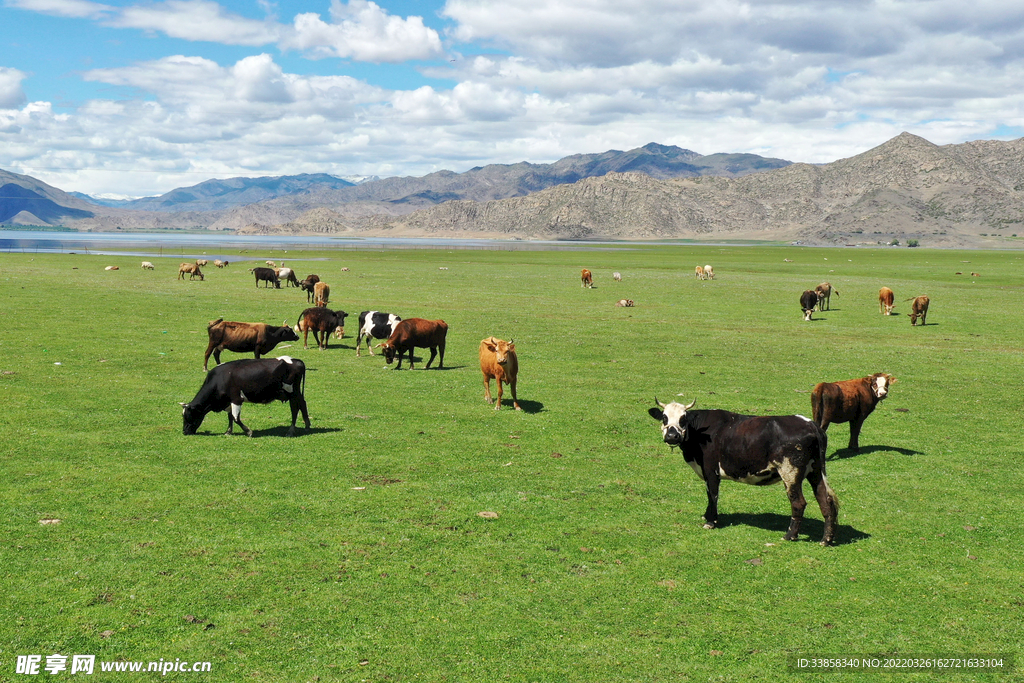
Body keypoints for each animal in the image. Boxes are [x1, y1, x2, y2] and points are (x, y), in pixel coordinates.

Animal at [180, 358, 309, 438]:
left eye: (189, 416)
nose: (184, 432)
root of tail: (297, 361)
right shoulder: (229, 401)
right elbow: (230, 417)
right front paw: (228, 432)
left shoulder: (237, 399)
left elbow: (236, 418)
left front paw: (249, 432)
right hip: (295, 393)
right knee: (302, 404)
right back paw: (307, 425)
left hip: (293, 393)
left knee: (295, 409)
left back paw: (291, 431)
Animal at [647, 397, 839, 548]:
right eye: (664, 417)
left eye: (683, 419)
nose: (672, 436)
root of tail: (811, 424)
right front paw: (707, 516)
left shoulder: (711, 471)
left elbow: (713, 495)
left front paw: (711, 521)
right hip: (815, 471)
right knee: (826, 501)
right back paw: (826, 540)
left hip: (790, 472)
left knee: (799, 503)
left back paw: (789, 535)